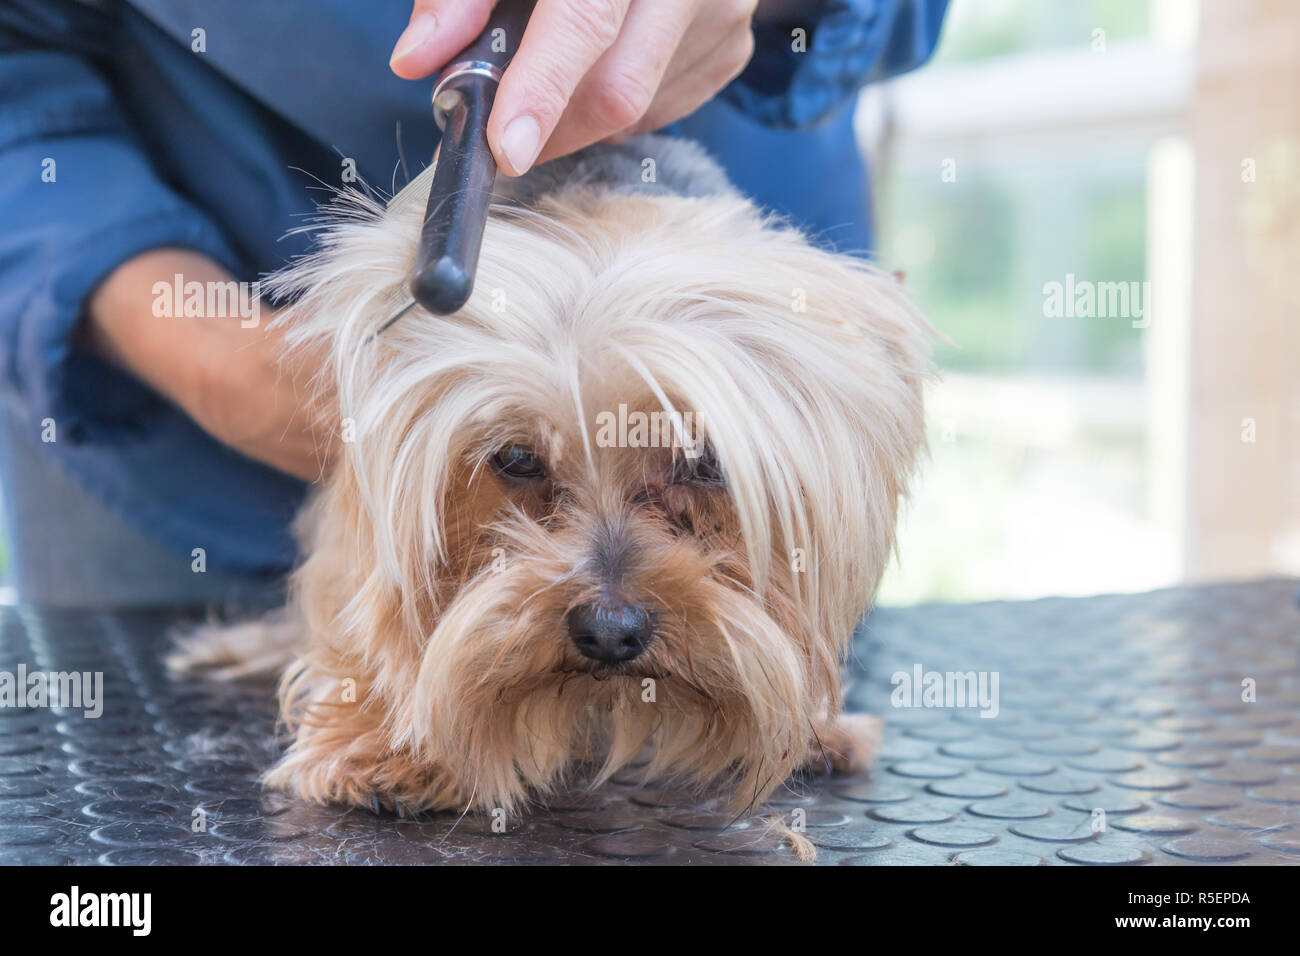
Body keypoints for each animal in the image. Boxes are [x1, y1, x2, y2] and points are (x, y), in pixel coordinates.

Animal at [172, 134, 930, 816]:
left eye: (703, 460)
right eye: (516, 458)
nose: (610, 631)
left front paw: (818, 724)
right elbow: (375, 597)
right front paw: (386, 746)